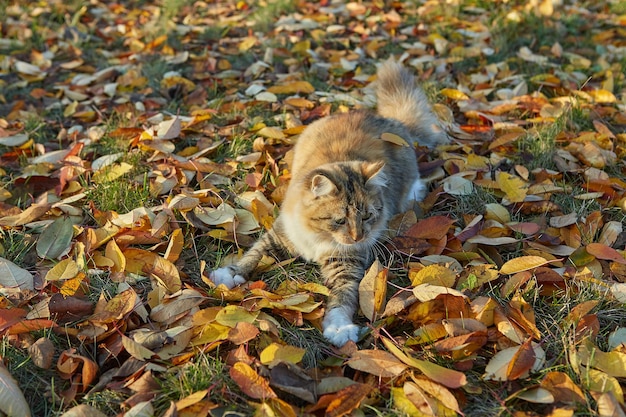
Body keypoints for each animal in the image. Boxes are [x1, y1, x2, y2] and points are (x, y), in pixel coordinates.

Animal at [208, 59, 444, 344]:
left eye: (367, 216)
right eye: (340, 220)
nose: (358, 237)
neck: (319, 238)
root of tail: (387, 119)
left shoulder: (346, 263)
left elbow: (343, 297)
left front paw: (340, 328)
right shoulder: (279, 235)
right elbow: (253, 255)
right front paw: (229, 274)